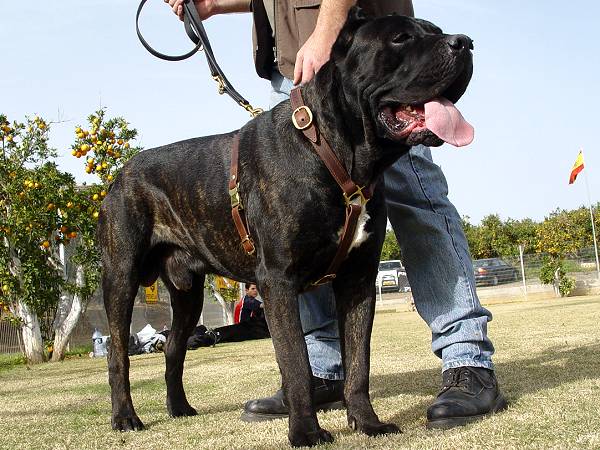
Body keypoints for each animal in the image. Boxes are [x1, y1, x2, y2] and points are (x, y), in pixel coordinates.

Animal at [98, 7, 474, 446]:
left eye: (436, 31)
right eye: (400, 38)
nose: (465, 42)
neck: (334, 152)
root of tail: (120, 175)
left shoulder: (359, 280)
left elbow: (358, 364)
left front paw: (367, 423)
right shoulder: (278, 281)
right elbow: (295, 362)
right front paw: (306, 432)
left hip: (187, 294)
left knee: (174, 349)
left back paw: (180, 408)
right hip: (121, 277)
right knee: (118, 354)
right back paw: (125, 417)